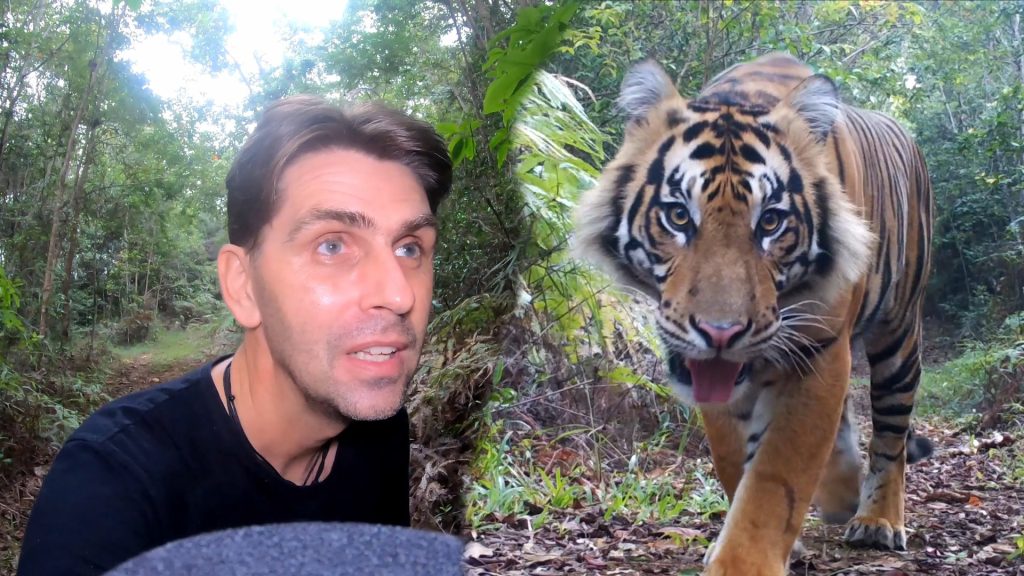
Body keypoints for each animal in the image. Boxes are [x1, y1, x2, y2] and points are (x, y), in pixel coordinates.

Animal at [573, 52, 933, 575]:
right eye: (678, 216)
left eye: (771, 223)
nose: (721, 333)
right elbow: (732, 460)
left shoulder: (818, 350)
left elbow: (777, 476)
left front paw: (745, 562)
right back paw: (842, 494)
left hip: (899, 335)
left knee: (892, 432)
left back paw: (877, 520)